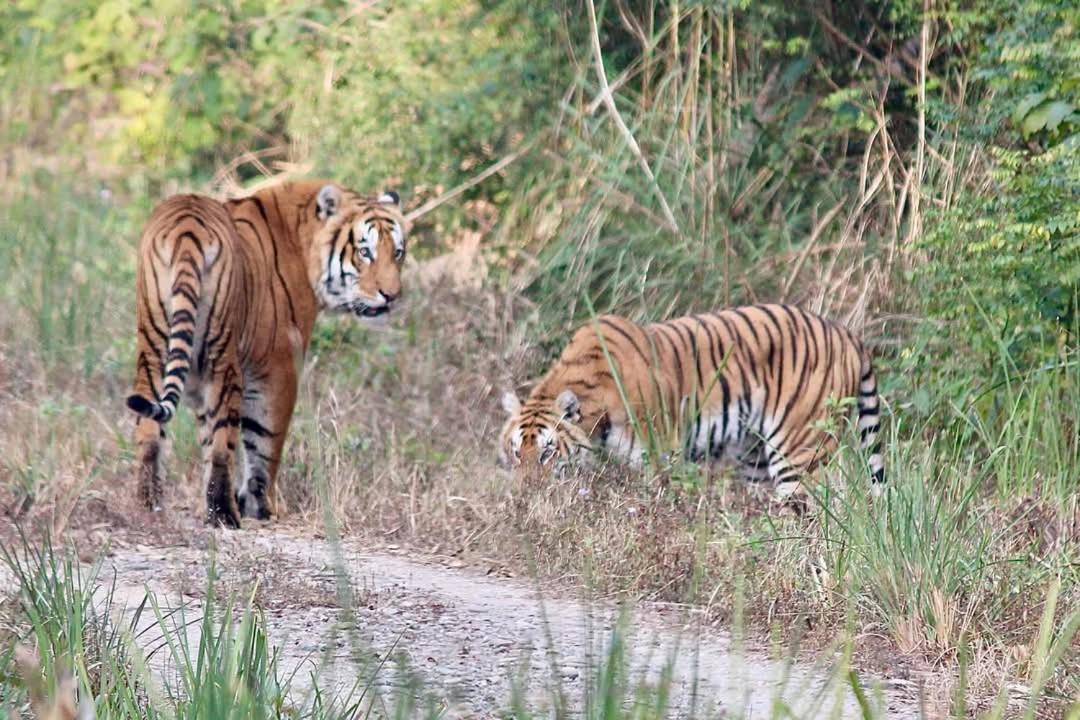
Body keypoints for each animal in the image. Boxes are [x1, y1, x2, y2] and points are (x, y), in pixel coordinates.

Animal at [128, 181, 406, 528]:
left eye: (397, 252)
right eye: (365, 252)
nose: (392, 296)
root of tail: (187, 227)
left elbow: (205, 434)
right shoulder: (278, 366)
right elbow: (265, 440)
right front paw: (261, 507)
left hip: (153, 347)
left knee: (150, 431)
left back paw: (148, 505)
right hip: (222, 356)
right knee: (223, 442)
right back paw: (224, 514)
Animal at [496, 304, 885, 500]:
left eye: (547, 453)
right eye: (517, 452)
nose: (525, 493)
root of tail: (846, 333)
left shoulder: (658, 457)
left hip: (800, 453)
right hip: (755, 459)